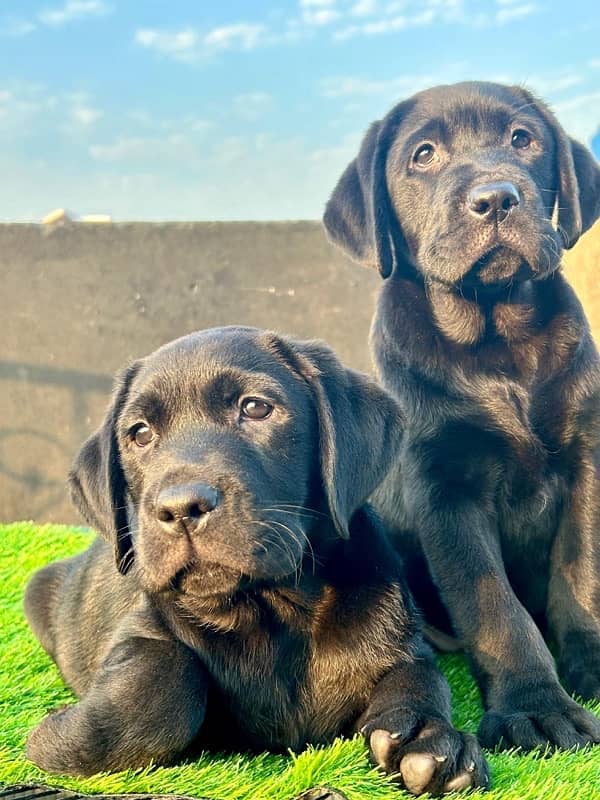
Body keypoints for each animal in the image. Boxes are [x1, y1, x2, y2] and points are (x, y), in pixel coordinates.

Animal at [23, 324, 488, 792]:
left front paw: (425, 736)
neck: (273, 608)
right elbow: (164, 678)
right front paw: (61, 731)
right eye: (139, 433)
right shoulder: (141, 630)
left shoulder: (400, 639)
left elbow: (421, 676)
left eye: (256, 408)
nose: (180, 508)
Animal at [324, 83, 600, 756]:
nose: (496, 197)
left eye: (523, 139)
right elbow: (498, 612)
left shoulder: (586, 459)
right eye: (423, 154)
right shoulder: (447, 493)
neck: (500, 342)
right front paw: (536, 707)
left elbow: (580, 574)